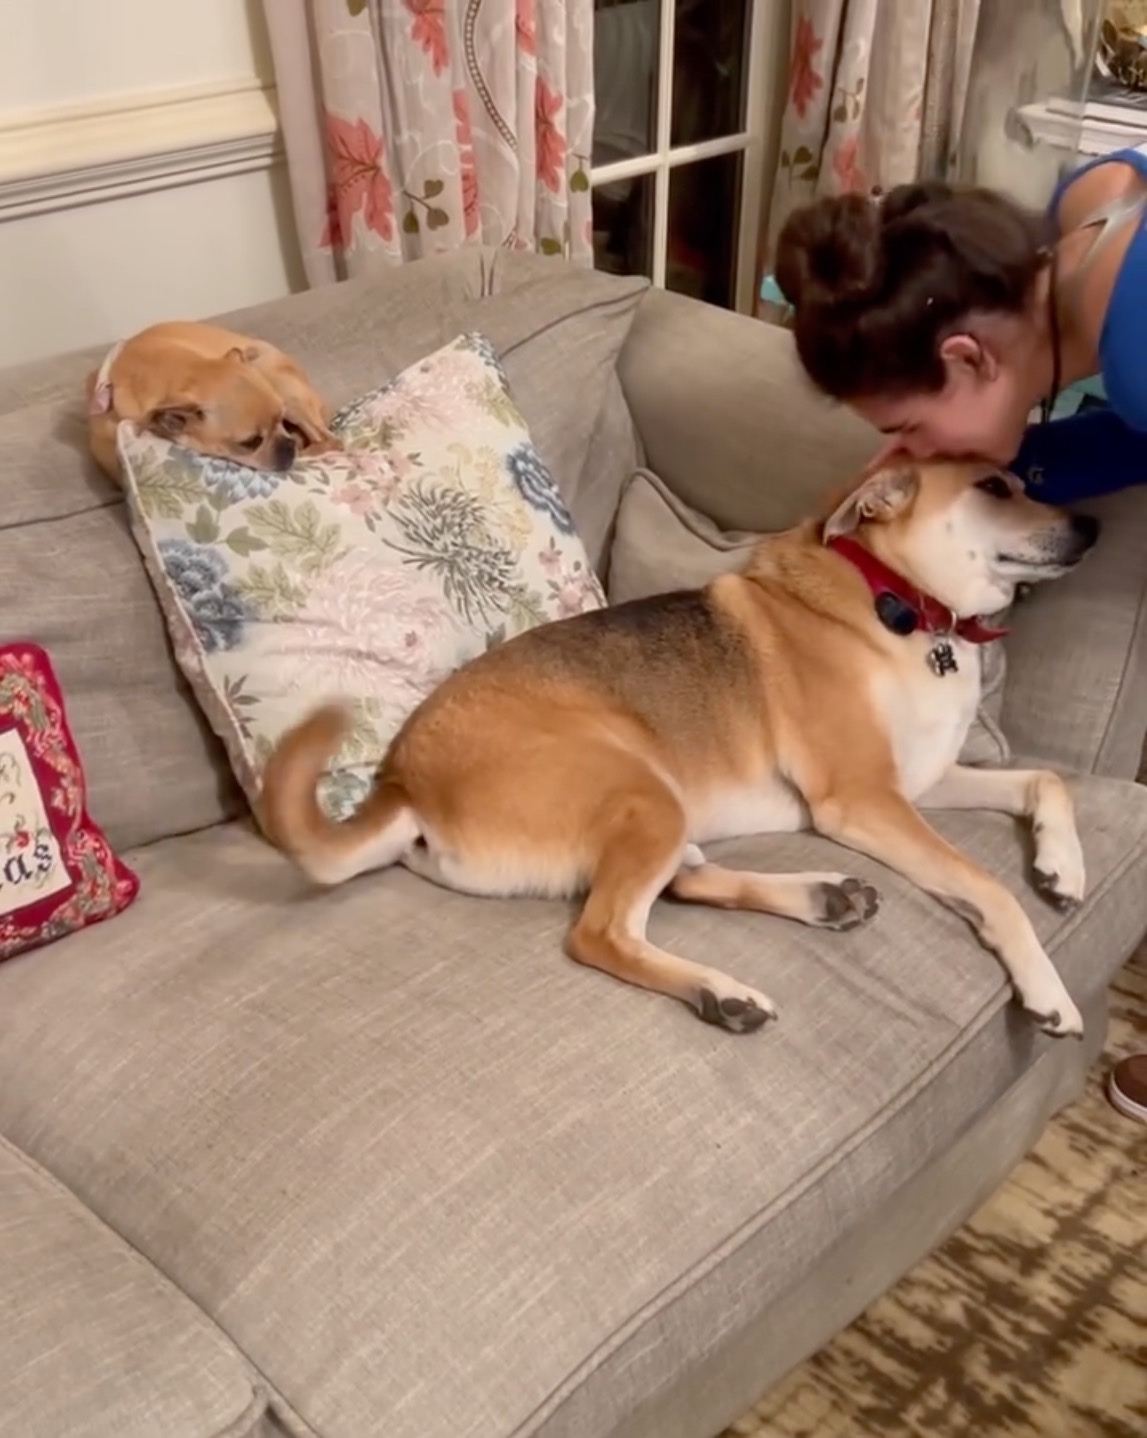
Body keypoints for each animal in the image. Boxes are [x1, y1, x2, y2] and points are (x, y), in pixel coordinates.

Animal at [264, 465, 1098, 1041]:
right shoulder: (863, 796)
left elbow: (1044, 781)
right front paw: (1046, 988)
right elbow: (987, 887)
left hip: (657, 810)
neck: (904, 604)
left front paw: (1062, 865)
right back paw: (721, 990)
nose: (1092, 524)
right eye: (992, 486)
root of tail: (402, 782)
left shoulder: (919, 785)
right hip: (644, 792)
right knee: (601, 933)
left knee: (683, 884)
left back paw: (820, 898)